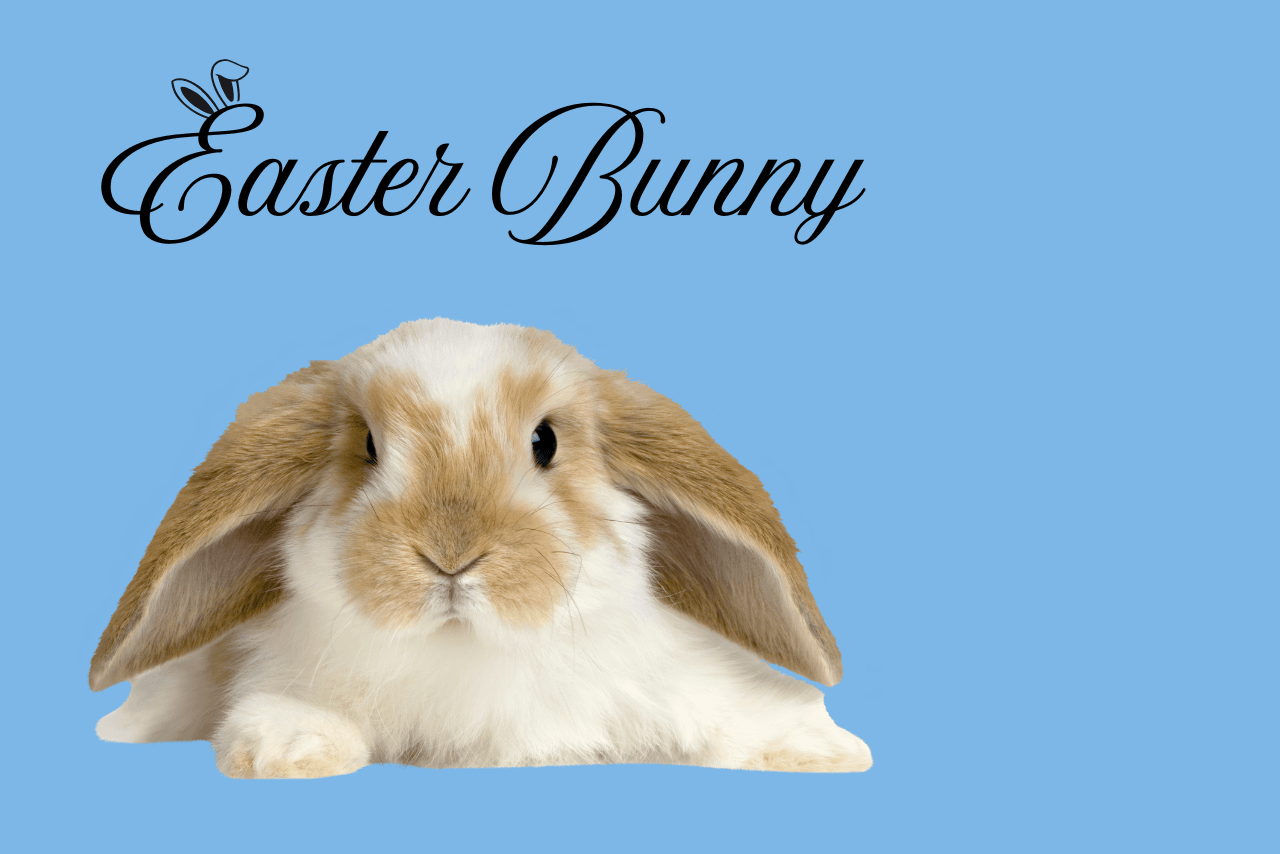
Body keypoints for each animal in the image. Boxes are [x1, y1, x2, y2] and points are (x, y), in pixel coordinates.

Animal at [89, 318, 872, 777]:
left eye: (545, 441)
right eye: (367, 447)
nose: (451, 554)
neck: (470, 647)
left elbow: (741, 712)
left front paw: (825, 750)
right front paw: (289, 748)